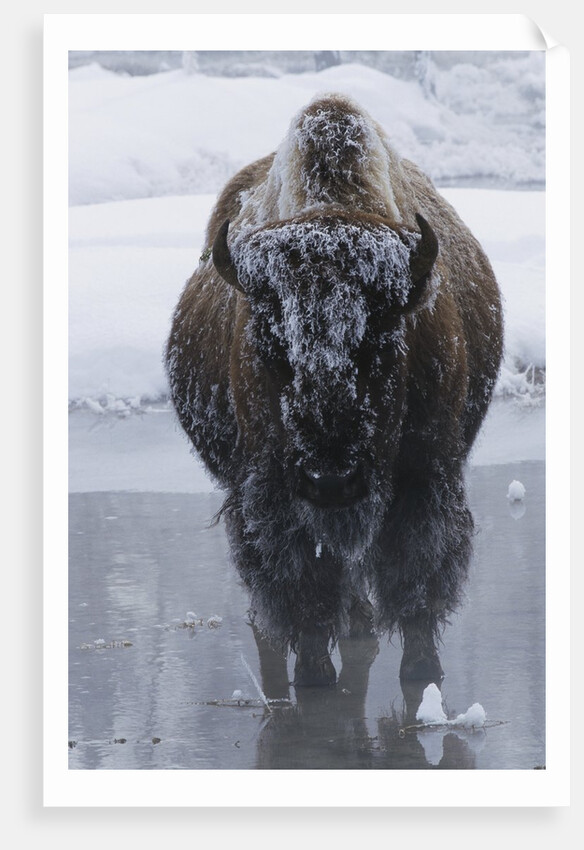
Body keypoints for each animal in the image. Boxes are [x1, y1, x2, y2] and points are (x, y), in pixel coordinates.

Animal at [165, 94, 503, 686]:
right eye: (270, 341)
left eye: (382, 336)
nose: (331, 479)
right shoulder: (273, 495)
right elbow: (305, 589)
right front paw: (315, 675)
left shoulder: (425, 477)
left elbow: (416, 582)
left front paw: (422, 671)